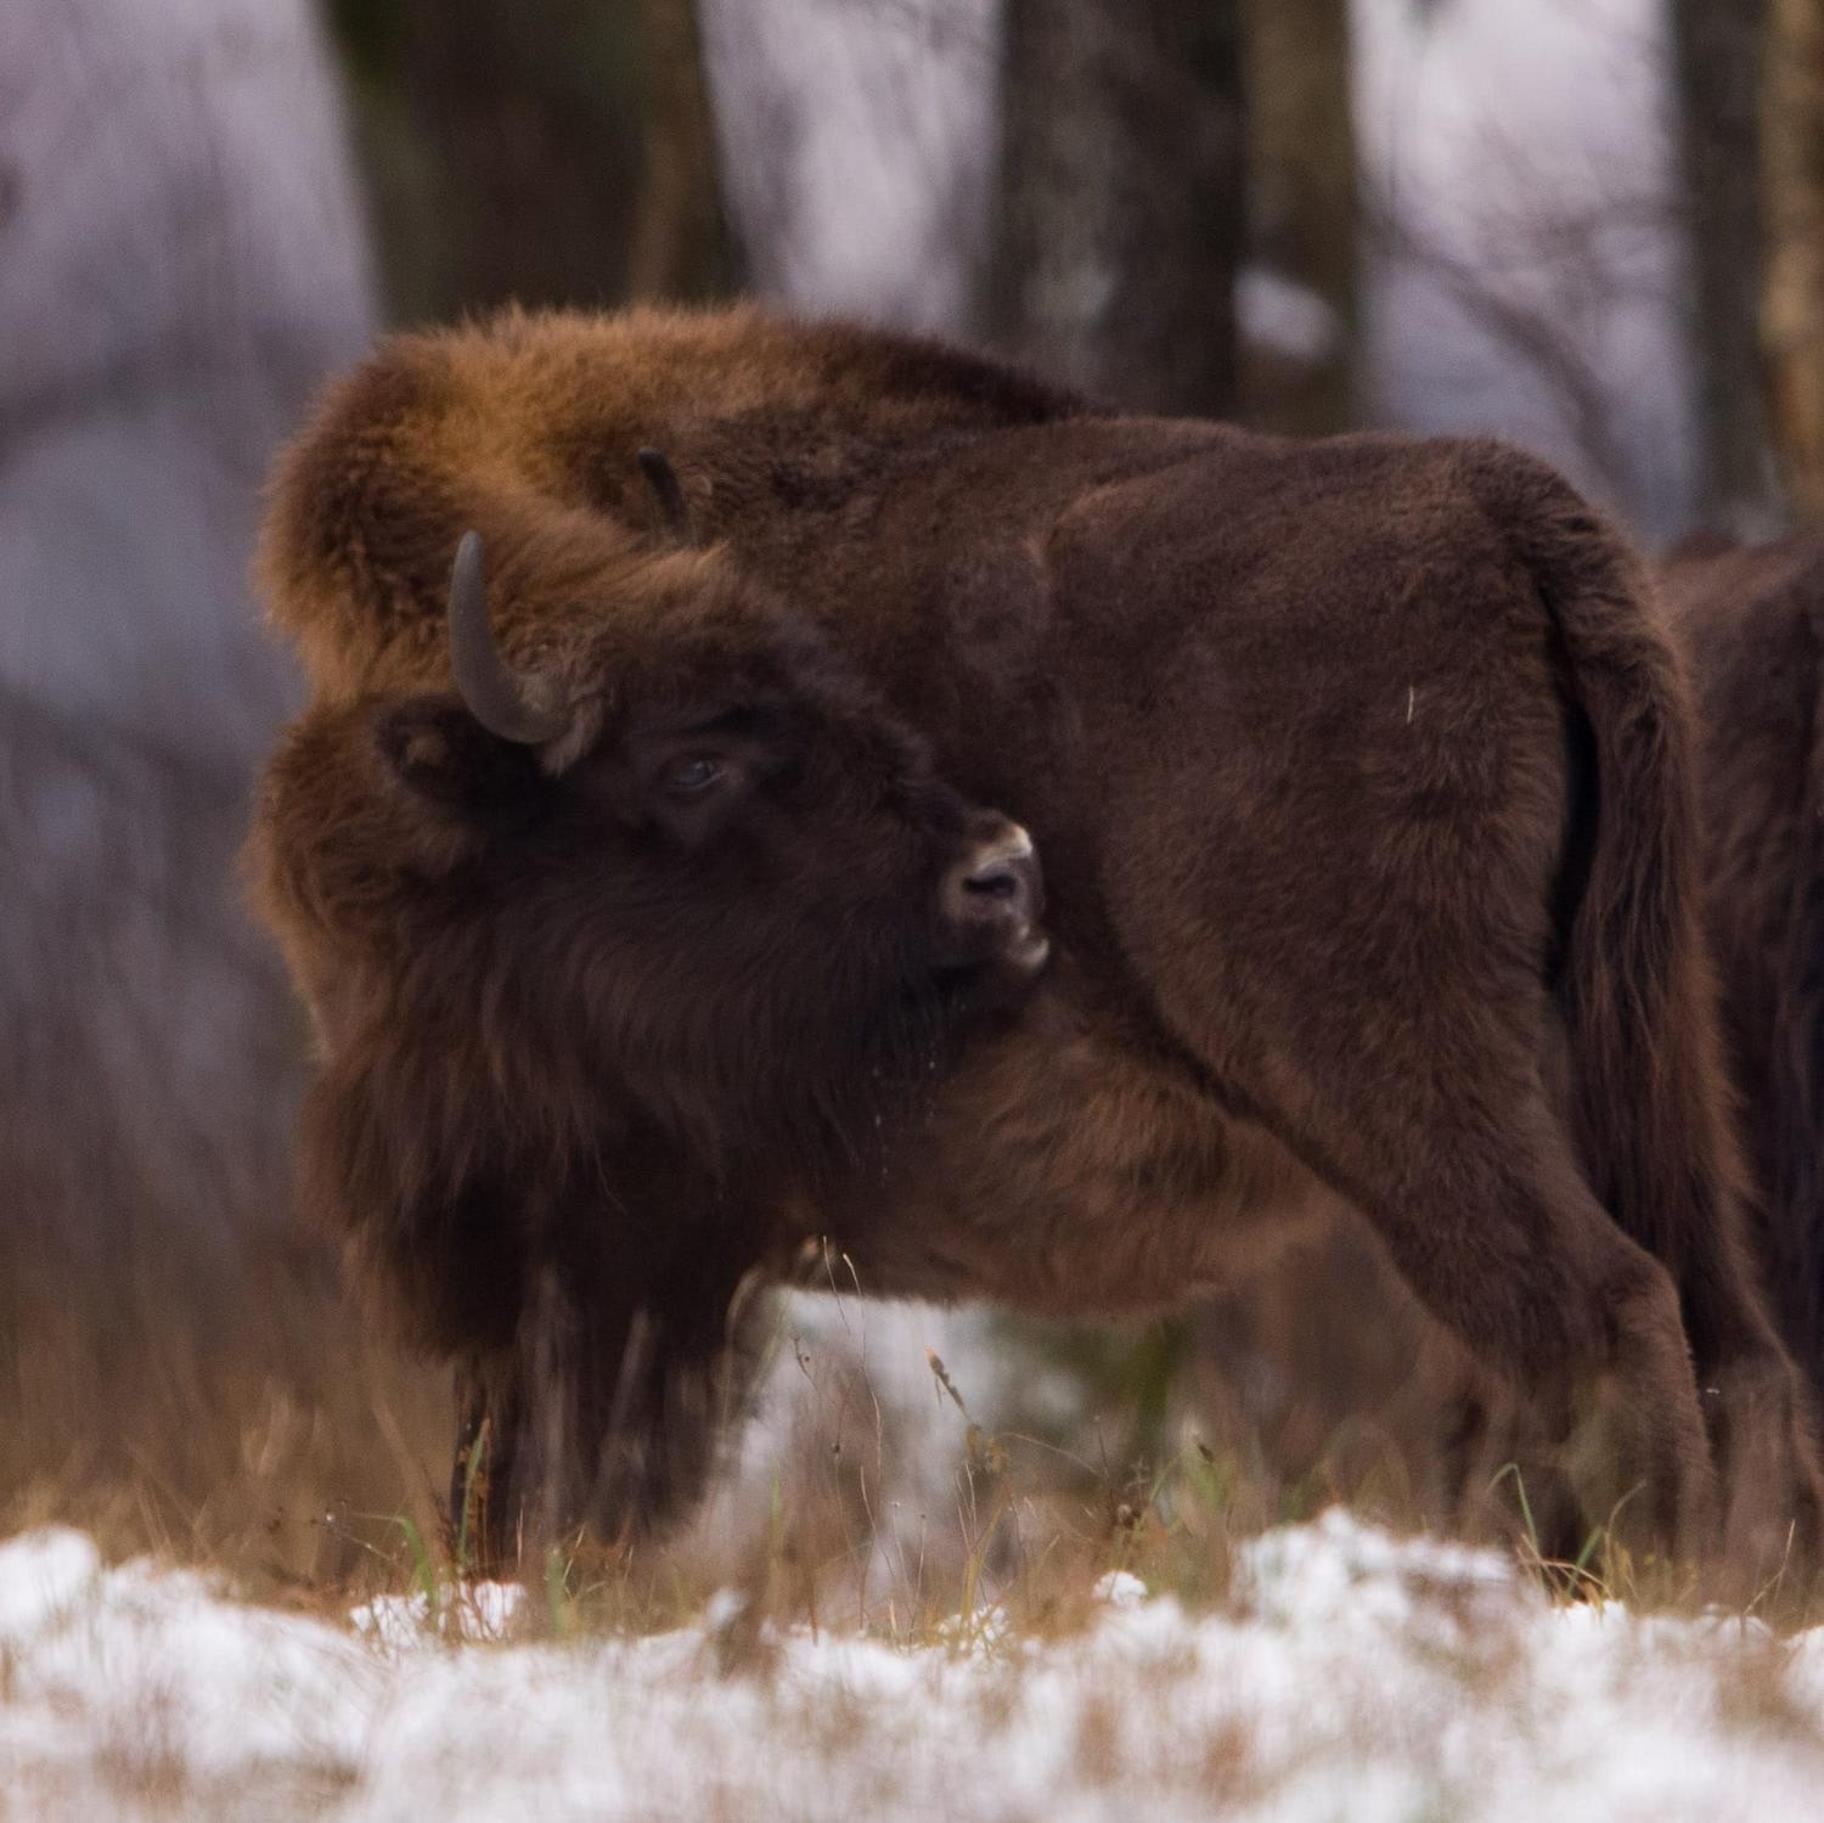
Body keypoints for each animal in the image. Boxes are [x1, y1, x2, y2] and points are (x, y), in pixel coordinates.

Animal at [257, 310, 1824, 1569]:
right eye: (695, 759)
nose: (1004, 875)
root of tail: (1501, 503)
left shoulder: (600, 1235)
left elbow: (540, 1480)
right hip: (1637, 1062)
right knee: (1724, 1349)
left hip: (1407, 1093)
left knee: (1598, 1318)